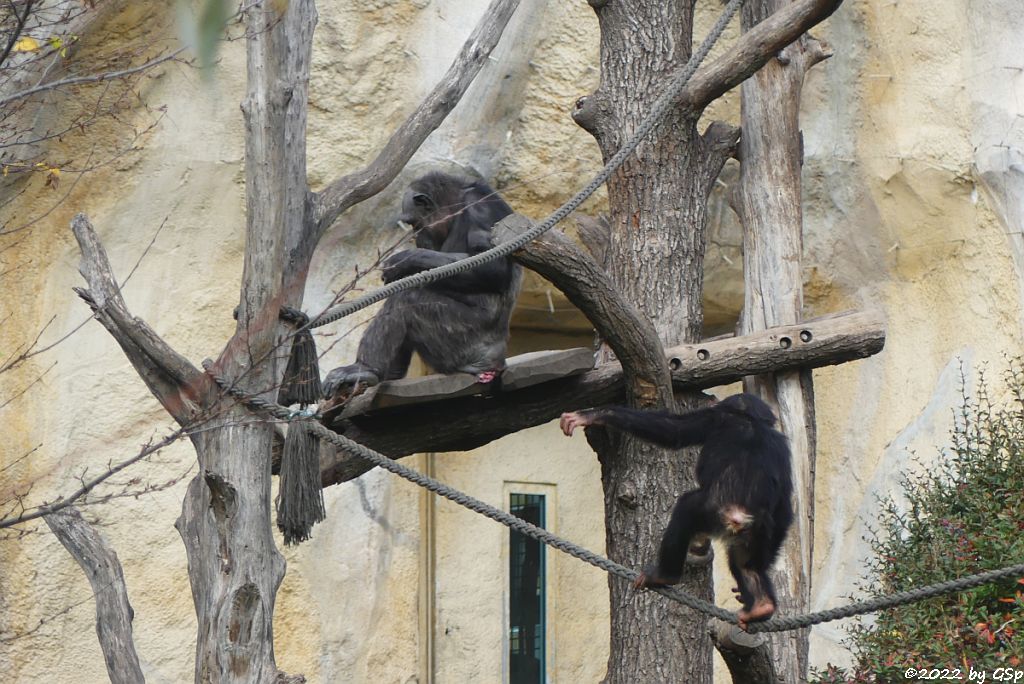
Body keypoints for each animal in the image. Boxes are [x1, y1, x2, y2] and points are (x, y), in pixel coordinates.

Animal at [323, 169, 524, 395]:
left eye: (414, 223)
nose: (415, 235)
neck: (457, 206)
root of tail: (495, 363)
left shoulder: (480, 209)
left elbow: (492, 268)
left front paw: (404, 260)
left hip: (458, 342)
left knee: (406, 300)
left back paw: (364, 370)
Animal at [561, 393, 790, 626]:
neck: (752, 421)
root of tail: (742, 515)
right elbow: (787, 502)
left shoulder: (713, 418)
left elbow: (673, 430)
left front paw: (593, 415)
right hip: (757, 533)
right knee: (744, 562)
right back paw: (761, 606)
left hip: (710, 511)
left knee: (684, 510)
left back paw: (663, 575)